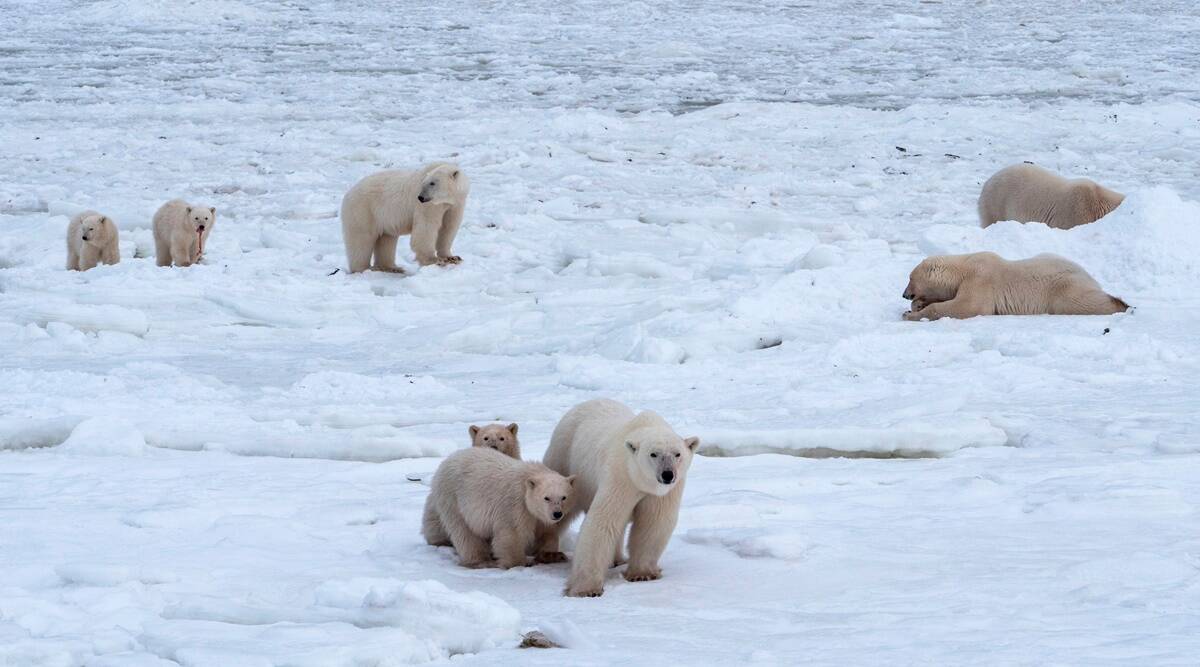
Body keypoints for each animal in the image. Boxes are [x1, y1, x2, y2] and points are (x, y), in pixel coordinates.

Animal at [340, 161, 470, 273]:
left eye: (432, 183)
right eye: (424, 183)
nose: (421, 197)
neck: (447, 200)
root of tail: (348, 193)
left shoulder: (455, 204)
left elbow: (448, 228)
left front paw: (452, 257)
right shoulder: (428, 206)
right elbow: (426, 227)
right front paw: (434, 260)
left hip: (383, 217)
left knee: (386, 239)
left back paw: (392, 268)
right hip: (363, 210)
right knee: (361, 239)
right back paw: (362, 269)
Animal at [422, 448, 576, 568]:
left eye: (564, 497)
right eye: (546, 498)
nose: (557, 514)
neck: (529, 477)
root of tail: (446, 461)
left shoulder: (540, 516)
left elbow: (546, 533)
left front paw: (553, 555)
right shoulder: (515, 504)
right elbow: (512, 534)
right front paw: (519, 562)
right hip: (454, 498)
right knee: (464, 532)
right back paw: (481, 560)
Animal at [542, 398, 700, 597]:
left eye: (677, 454)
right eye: (653, 454)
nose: (667, 474)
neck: (641, 481)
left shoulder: (664, 493)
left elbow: (653, 523)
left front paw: (642, 574)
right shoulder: (621, 476)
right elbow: (604, 520)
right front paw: (586, 589)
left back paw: (617, 559)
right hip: (564, 457)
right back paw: (548, 553)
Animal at [902, 251, 1128, 321]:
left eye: (910, 278)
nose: (905, 294)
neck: (963, 269)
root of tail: (1089, 277)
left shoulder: (980, 280)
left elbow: (968, 306)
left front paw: (910, 314)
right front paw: (917, 306)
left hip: (1063, 288)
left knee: (1081, 302)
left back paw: (1121, 304)